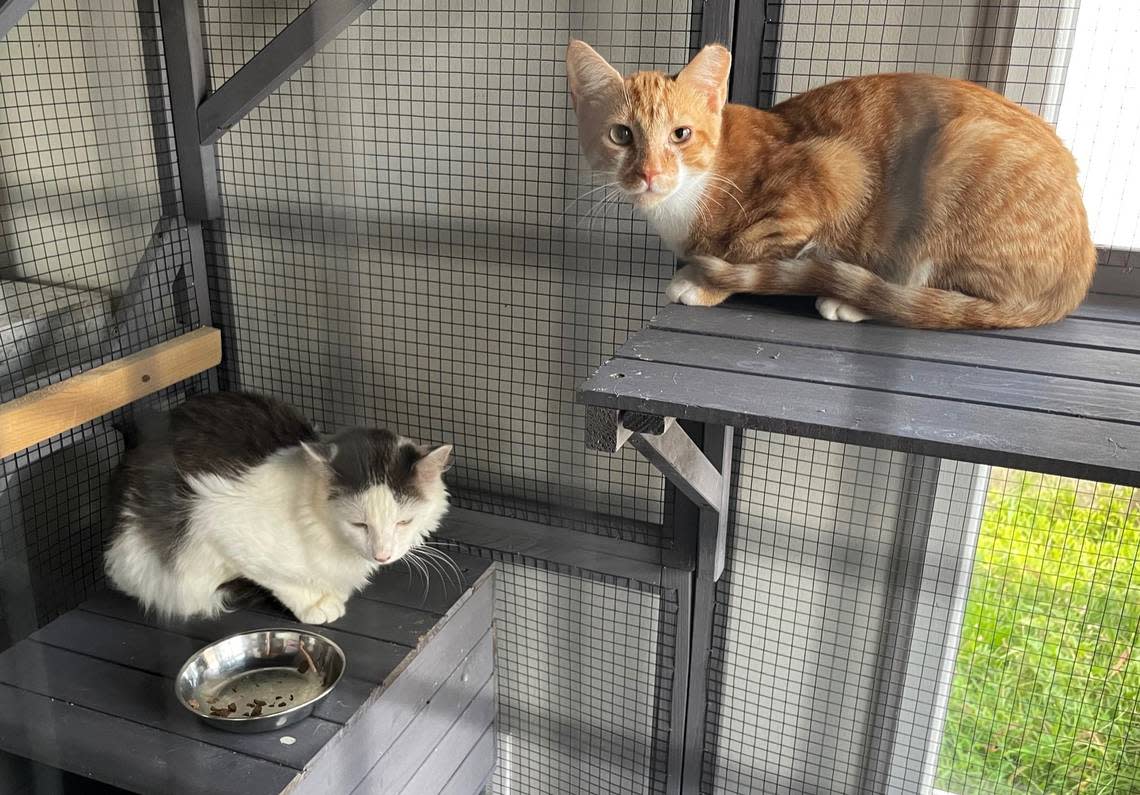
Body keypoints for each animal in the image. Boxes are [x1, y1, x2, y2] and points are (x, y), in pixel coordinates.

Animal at [102, 394, 449, 625]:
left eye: (404, 522)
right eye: (359, 525)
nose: (382, 555)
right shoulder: (220, 525)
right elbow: (283, 582)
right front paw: (317, 604)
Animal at [565, 41, 1098, 326]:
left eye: (681, 134)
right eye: (621, 135)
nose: (650, 174)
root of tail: (1081, 269)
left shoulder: (835, 171)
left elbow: (747, 251)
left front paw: (705, 280)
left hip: (958, 155)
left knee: (924, 294)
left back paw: (856, 301)